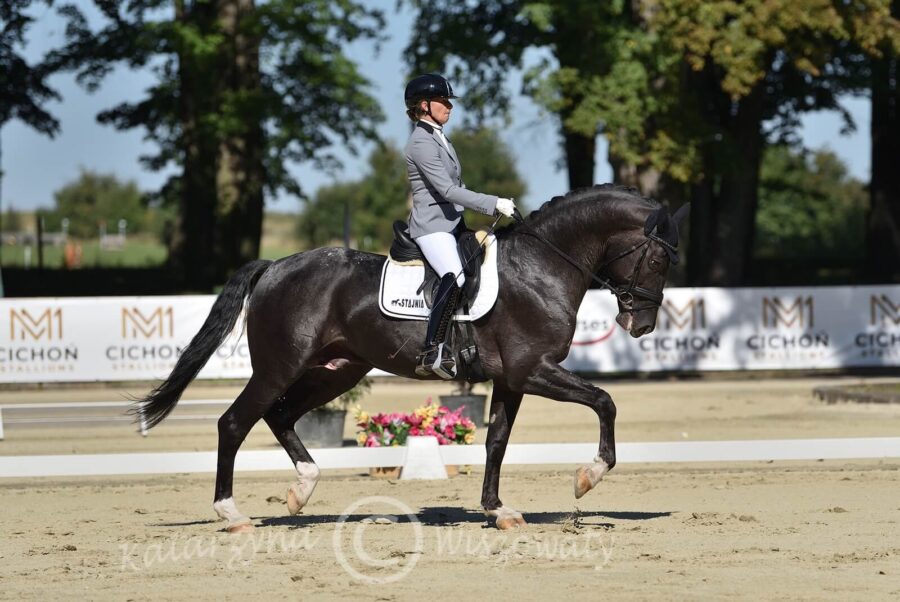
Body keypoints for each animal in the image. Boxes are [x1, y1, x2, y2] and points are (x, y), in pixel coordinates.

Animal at [137, 184, 688, 528]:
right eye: (658, 259)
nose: (641, 326)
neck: (541, 266)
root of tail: (274, 267)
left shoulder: (511, 379)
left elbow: (496, 442)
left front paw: (497, 510)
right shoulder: (534, 370)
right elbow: (604, 401)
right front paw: (587, 477)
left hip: (337, 371)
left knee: (281, 415)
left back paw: (302, 490)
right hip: (279, 366)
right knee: (235, 422)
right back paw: (232, 514)